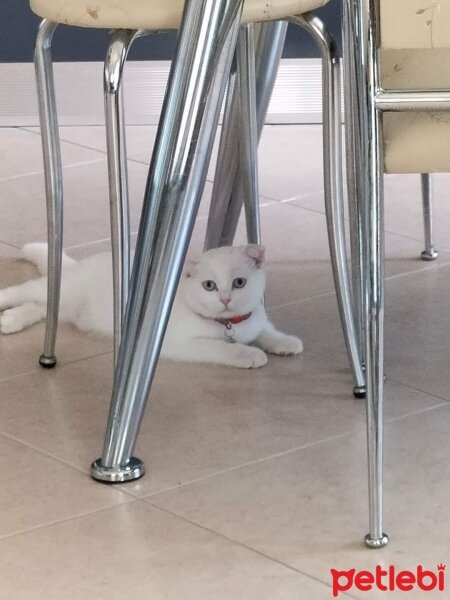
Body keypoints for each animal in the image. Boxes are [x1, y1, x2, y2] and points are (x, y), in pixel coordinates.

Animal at [0, 243, 304, 366]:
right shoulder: (179, 344)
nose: (225, 299)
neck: (230, 325)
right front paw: (248, 354)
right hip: (61, 290)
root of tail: (80, 263)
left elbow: (267, 331)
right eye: (209, 285)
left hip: (63, 306)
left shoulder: (255, 319)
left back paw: (10, 321)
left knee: (38, 307)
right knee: (22, 292)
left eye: (239, 283)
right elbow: (220, 347)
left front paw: (285, 342)